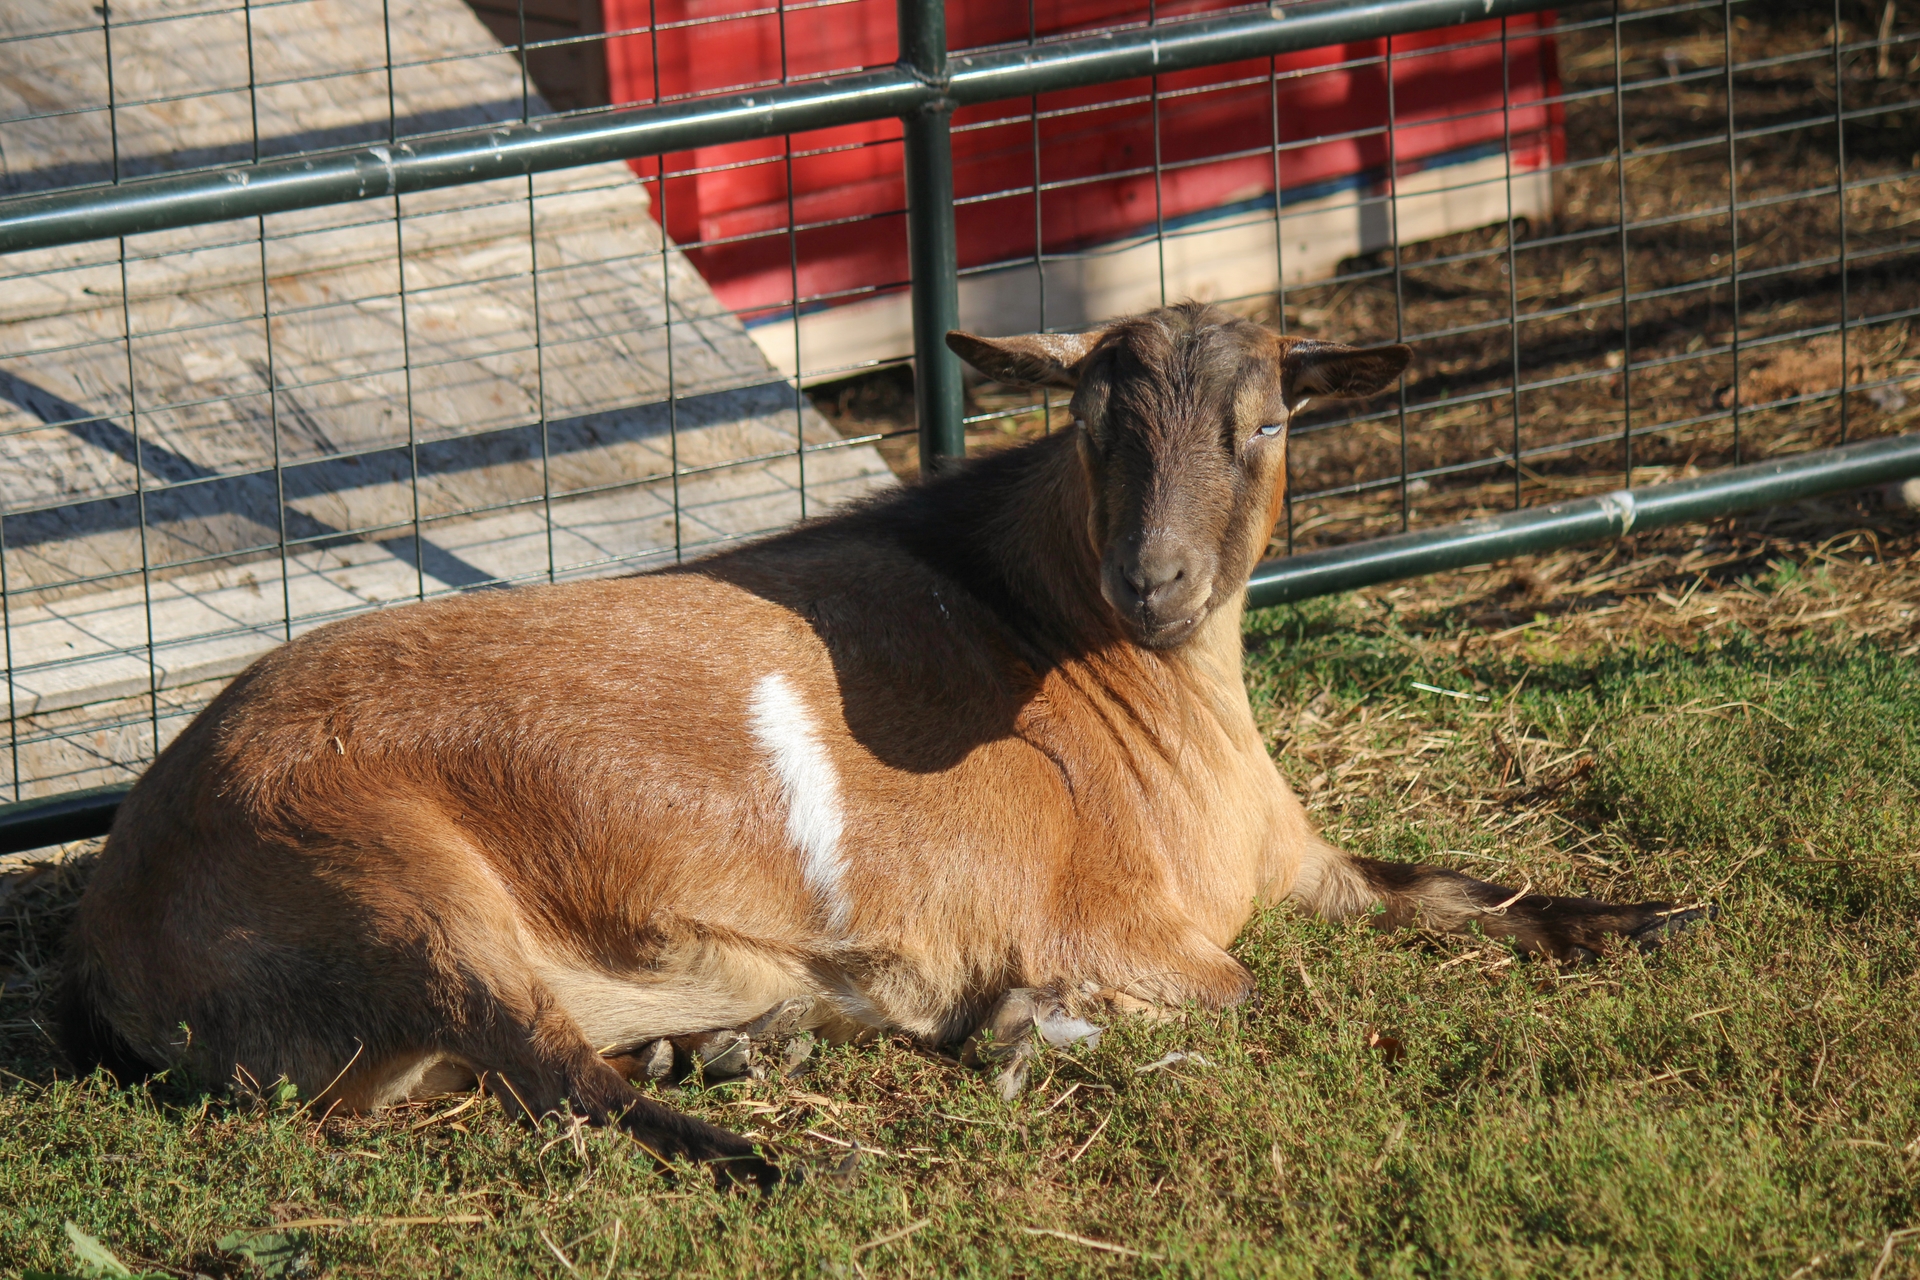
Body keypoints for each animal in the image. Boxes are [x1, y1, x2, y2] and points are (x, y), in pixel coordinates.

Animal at [56, 303, 1712, 1189]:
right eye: (1095, 427)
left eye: (1268, 425)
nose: (1157, 581)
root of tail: (123, 910)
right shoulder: (1117, 924)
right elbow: (1257, 1000)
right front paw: (1016, 1031)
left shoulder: (1303, 863)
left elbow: (1455, 887)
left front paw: (1653, 917)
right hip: (386, 878)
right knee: (555, 1078)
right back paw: (785, 1143)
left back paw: (743, 1037)